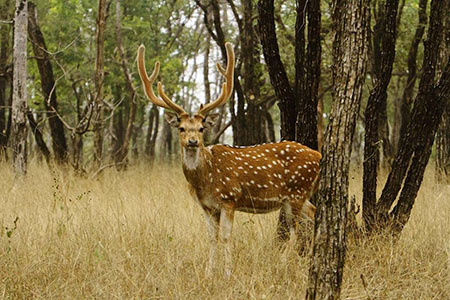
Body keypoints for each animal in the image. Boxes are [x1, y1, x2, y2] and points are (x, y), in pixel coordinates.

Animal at [136, 42, 320, 276]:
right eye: (182, 128)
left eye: (201, 128)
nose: (193, 141)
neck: (204, 180)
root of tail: (319, 155)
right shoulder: (207, 207)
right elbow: (212, 238)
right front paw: (209, 273)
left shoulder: (229, 199)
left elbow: (225, 237)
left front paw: (227, 273)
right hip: (298, 195)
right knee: (314, 214)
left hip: (297, 191)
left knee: (295, 231)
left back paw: (282, 265)